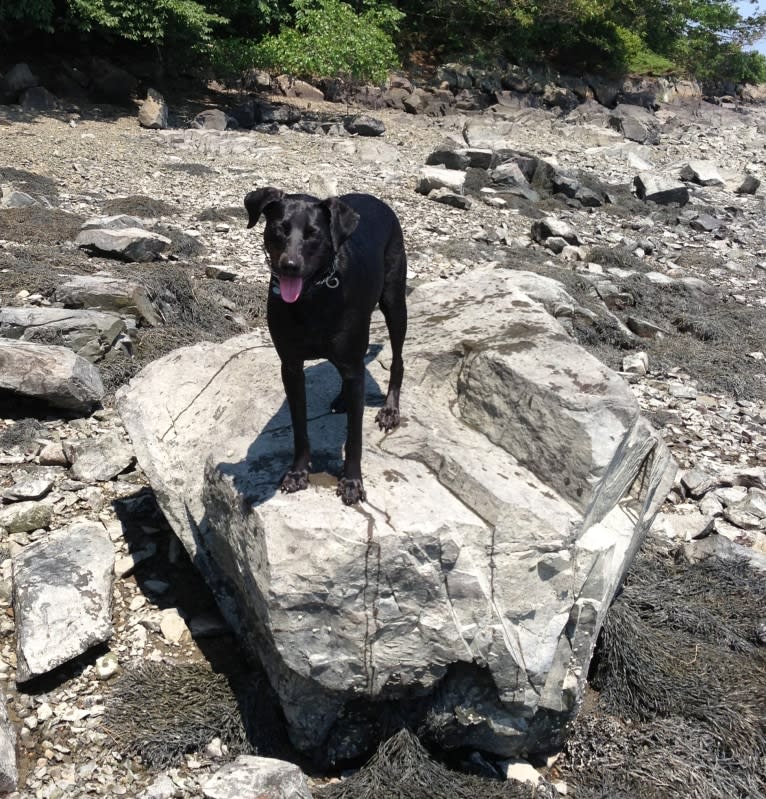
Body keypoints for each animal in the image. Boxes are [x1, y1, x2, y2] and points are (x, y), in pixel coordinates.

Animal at [249, 186, 412, 506]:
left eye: (313, 234)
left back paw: (390, 410)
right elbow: (300, 427)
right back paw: (343, 398)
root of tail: (374, 199)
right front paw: (298, 472)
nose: (289, 266)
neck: (313, 295)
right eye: (279, 229)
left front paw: (352, 482)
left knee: (397, 360)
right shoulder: (291, 367)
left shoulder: (352, 362)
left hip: (394, 300)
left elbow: (354, 437)